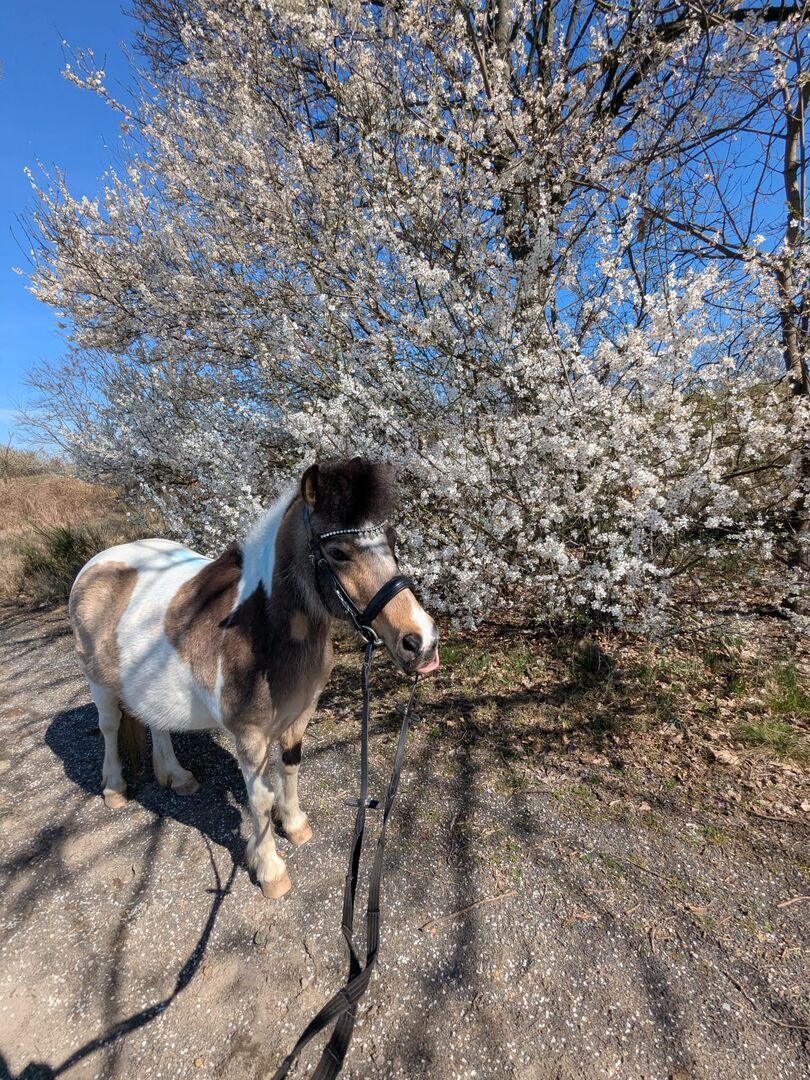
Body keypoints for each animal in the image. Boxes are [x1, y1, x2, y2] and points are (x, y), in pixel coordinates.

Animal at [68, 457, 439, 899]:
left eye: (392, 541)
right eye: (338, 552)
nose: (422, 642)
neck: (260, 628)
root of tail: (98, 563)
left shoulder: (299, 715)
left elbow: (290, 768)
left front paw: (295, 826)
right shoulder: (248, 735)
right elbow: (260, 799)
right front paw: (270, 870)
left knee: (156, 722)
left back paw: (176, 776)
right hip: (98, 682)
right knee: (109, 726)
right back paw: (114, 789)